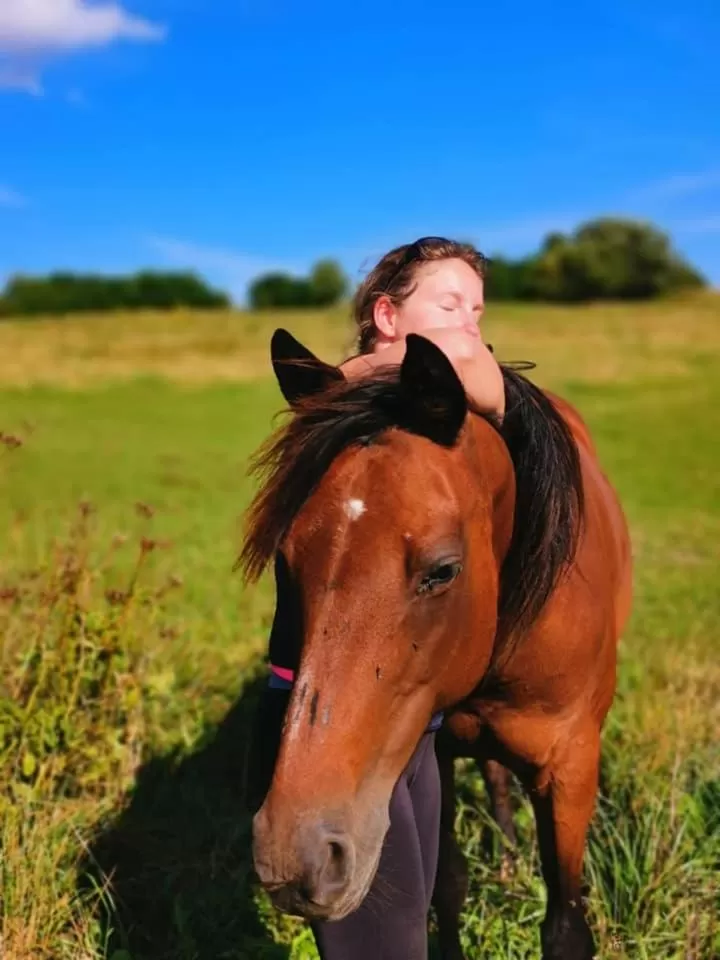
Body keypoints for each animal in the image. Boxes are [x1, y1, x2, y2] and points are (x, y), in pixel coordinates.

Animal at [239, 329, 632, 960]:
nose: (295, 856)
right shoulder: (437, 750)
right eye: (285, 559)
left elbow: (566, 928)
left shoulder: (571, 772)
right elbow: (448, 884)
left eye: (442, 570)